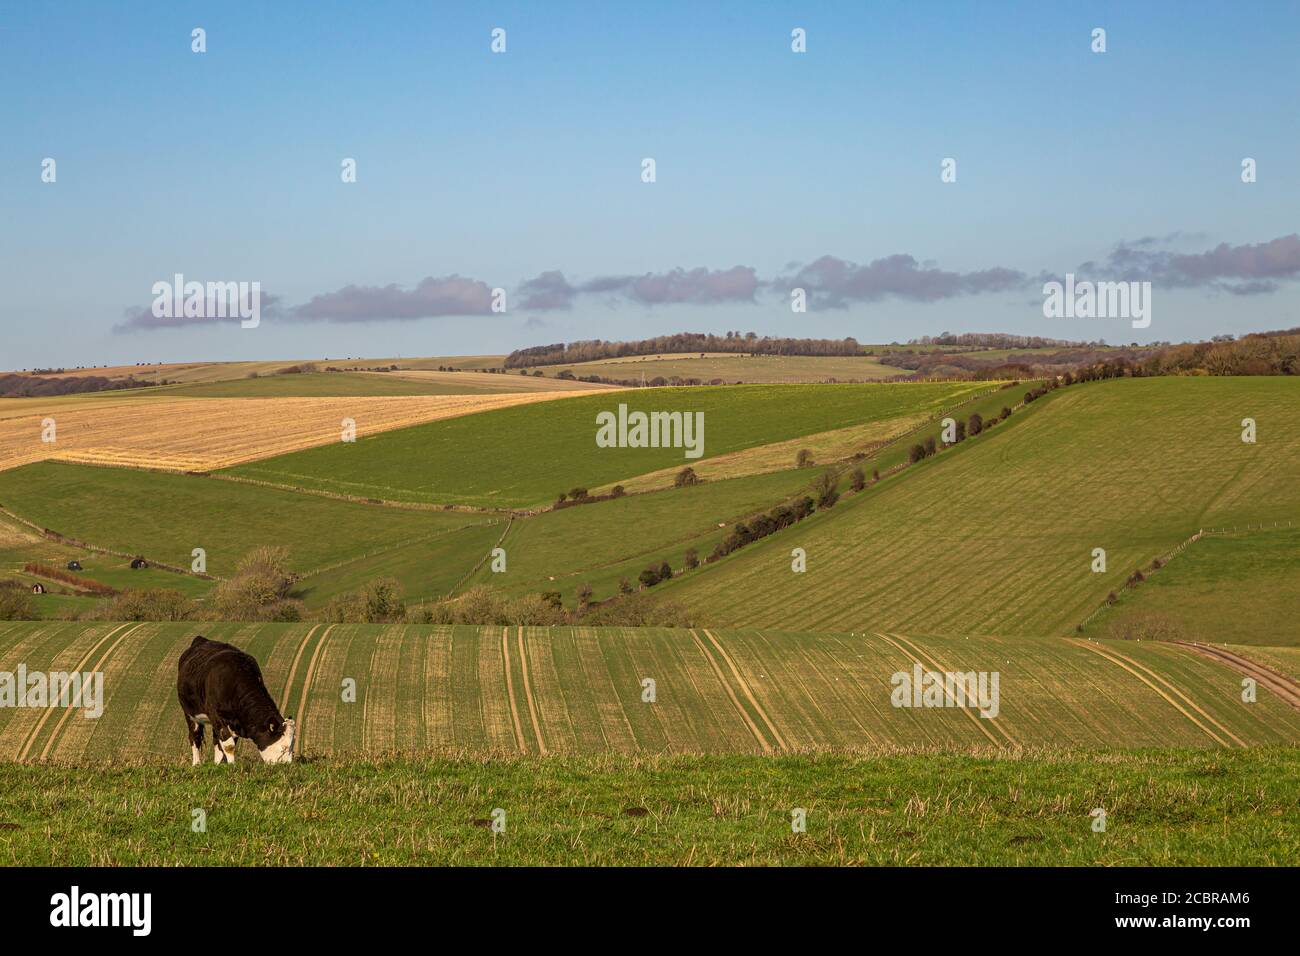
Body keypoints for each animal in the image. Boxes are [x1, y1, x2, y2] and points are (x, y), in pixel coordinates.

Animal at [177, 636, 294, 765]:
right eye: (283, 748)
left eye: (292, 747)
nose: (287, 766)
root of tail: (201, 639)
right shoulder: (216, 715)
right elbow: (228, 745)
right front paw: (232, 765)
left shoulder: (236, 722)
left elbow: (224, 744)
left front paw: (221, 765)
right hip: (190, 713)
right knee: (195, 736)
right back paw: (196, 763)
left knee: (216, 740)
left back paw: (216, 763)